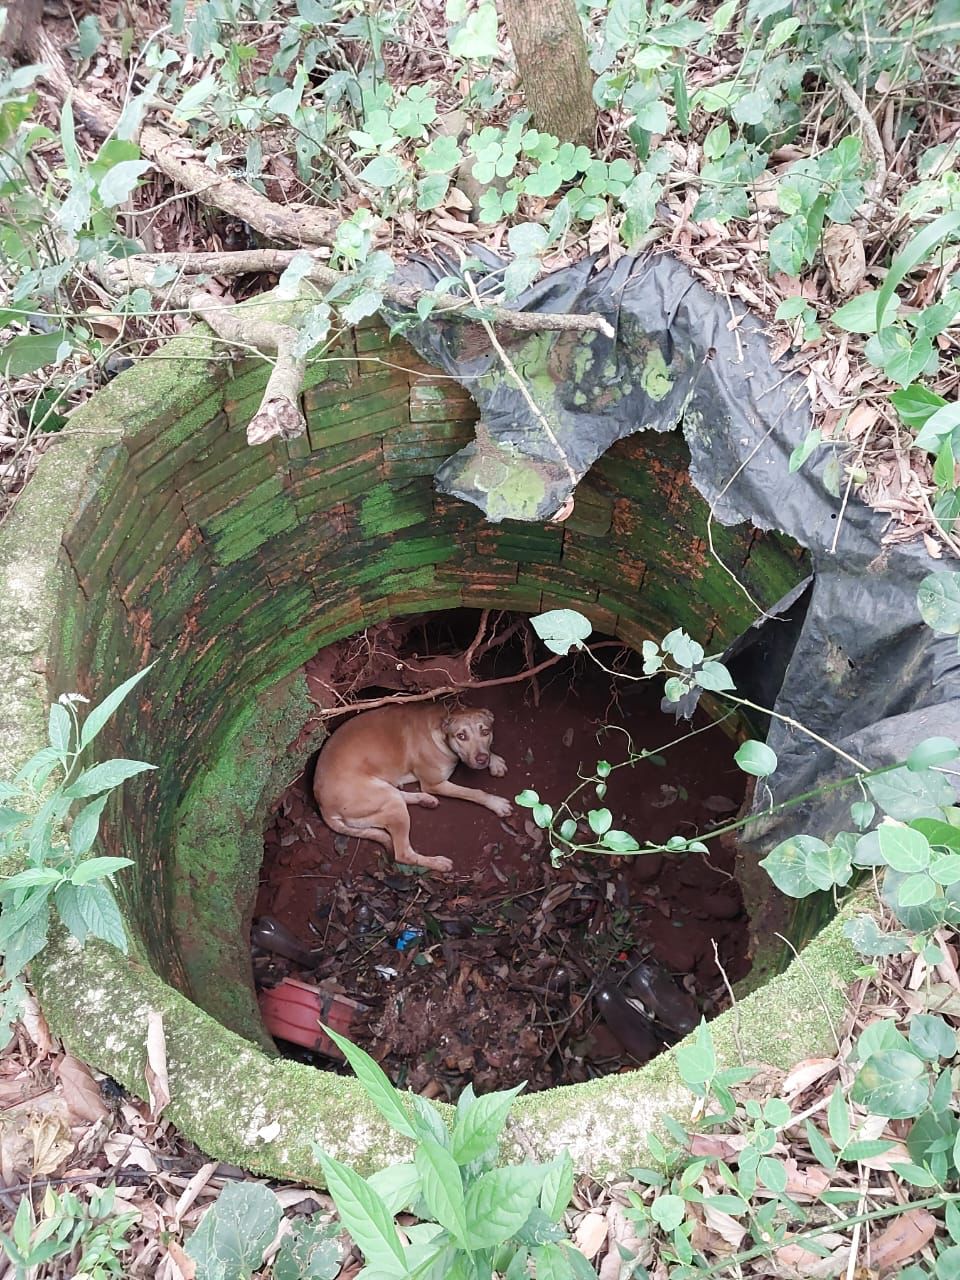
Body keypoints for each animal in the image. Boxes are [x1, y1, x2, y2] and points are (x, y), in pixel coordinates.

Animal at [313, 706, 512, 875]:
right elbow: (474, 792)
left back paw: (425, 799)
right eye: (461, 736)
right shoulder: (435, 784)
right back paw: (437, 862)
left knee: (398, 795)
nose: (482, 759)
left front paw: (494, 760)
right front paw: (496, 802)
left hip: (384, 796)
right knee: (403, 854)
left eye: (486, 732)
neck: (440, 727)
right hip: (389, 802)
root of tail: (324, 808)